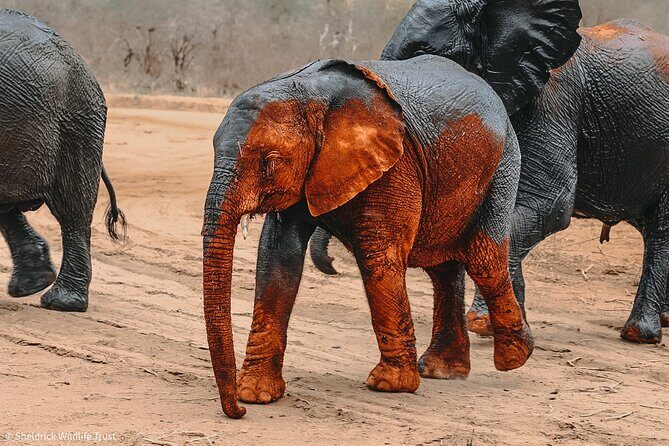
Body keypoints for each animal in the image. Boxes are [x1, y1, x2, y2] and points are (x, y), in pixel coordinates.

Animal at [202, 55, 537, 418]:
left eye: (270, 163)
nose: (238, 411)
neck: (310, 93)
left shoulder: (397, 162)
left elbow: (378, 254)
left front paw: (391, 385)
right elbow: (278, 255)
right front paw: (256, 394)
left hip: (503, 165)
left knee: (483, 258)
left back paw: (515, 357)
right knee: (445, 270)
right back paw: (442, 371)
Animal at [315, 0, 669, 343]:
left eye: (424, 54)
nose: (331, 266)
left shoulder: (555, 99)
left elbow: (549, 205)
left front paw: (483, 323)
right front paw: (509, 324)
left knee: (661, 232)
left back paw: (640, 333)